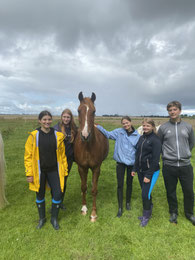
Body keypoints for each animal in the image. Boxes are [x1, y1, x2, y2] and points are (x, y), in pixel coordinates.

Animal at [74, 91, 109, 221]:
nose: (85, 135)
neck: (87, 147)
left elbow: (94, 190)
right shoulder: (81, 167)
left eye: (93, 111)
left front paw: (93, 214)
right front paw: (84, 208)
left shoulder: (96, 168)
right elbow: (83, 187)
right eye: (79, 110)